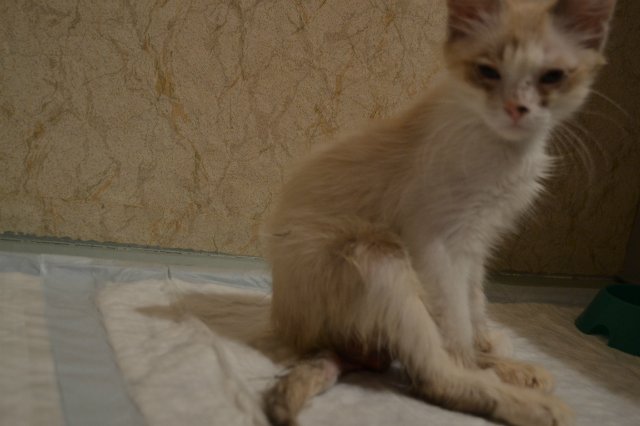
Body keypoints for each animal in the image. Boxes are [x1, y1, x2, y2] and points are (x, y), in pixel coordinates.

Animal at [261, 1, 616, 425]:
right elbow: (455, 328)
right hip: (379, 255)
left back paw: (519, 369)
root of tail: (301, 337)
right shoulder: (439, 244)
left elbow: (474, 304)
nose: (516, 108)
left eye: (552, 77)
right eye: (487, 72)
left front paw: (486, 346)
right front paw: (478, 363)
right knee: (432, 375)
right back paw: (533, 403)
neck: (508, 150)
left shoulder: (478, 242)